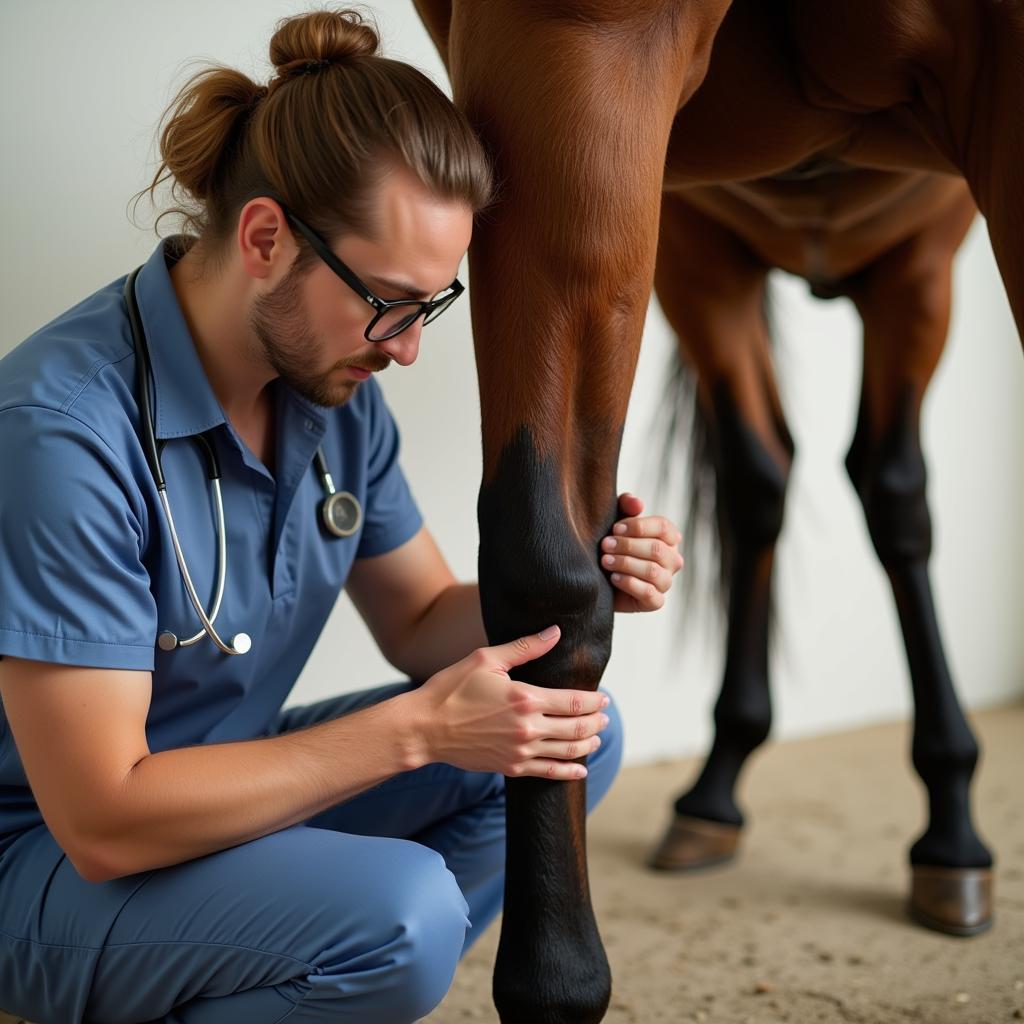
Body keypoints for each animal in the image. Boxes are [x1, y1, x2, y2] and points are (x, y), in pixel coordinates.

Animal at [409, 2, 1024, 1024]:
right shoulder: (566, 58)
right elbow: (548, 577)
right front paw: (556, 977)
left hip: (915, 262)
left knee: (892, 493)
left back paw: (951, 833)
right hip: (703, 260)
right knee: (762, 478)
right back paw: (716, 789)